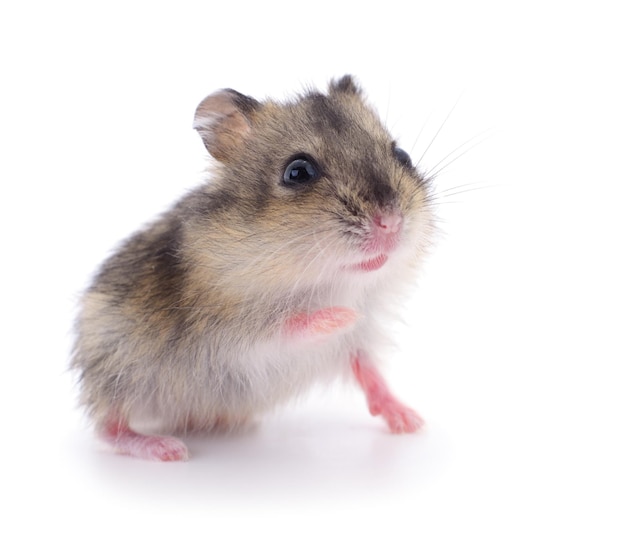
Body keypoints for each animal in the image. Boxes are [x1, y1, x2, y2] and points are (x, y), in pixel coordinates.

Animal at [70, 74, 434, 460]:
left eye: (401, 154)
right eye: (297, 171)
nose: (391, 223)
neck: (328, 280)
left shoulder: (358, 342)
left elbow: (368, 370)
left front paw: (411, 422)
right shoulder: (230, 332)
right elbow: (288, 325)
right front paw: (341, 316)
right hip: (117, 369)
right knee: (109, 427)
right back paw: (168, 449)